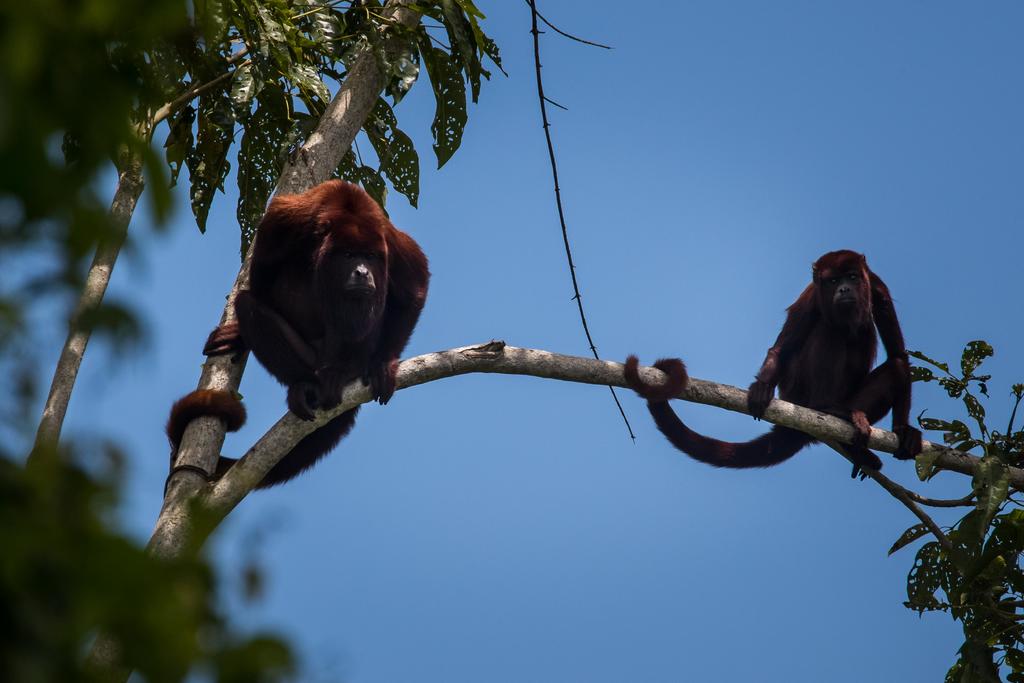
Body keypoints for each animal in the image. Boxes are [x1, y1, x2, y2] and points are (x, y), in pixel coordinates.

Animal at [166, 179, 428, 489]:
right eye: (349, 255)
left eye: (371, 256)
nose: (363, 272)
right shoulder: (282, 223)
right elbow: (260, 282)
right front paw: (238, 336)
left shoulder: (389, 240)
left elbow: (415, 289)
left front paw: (383, 363)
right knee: (248, 304)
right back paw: (305, 385)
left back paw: (346, 369)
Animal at [626, 248, 925, 479]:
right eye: (832, 280)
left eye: (852, 276)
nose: (844, 289)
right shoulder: (811, 296)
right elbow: (781, 349)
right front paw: (762, 386)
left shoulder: (877, 287)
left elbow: (899, 357)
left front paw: (904, 431)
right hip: (797, 390)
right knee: (830, 331)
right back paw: (825, 409)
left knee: (888, 361)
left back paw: (848, 420)